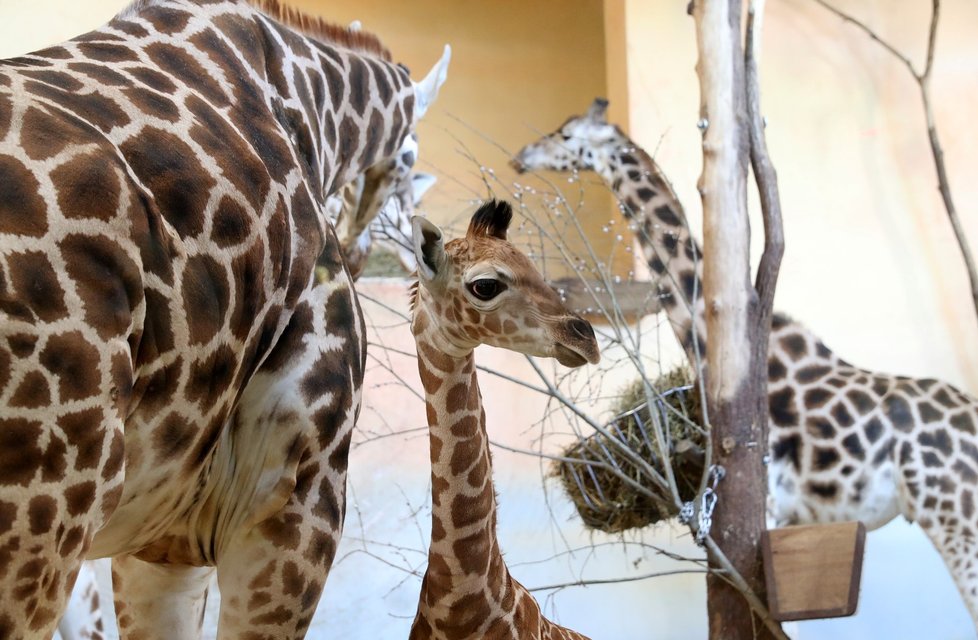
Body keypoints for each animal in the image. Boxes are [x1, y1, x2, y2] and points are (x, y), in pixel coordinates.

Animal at [0, 2, 448, 636]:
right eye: (407, 166)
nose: (415, 259)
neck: (309, 107)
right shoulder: (296, 501)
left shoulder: (164, 542)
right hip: (45, 512)